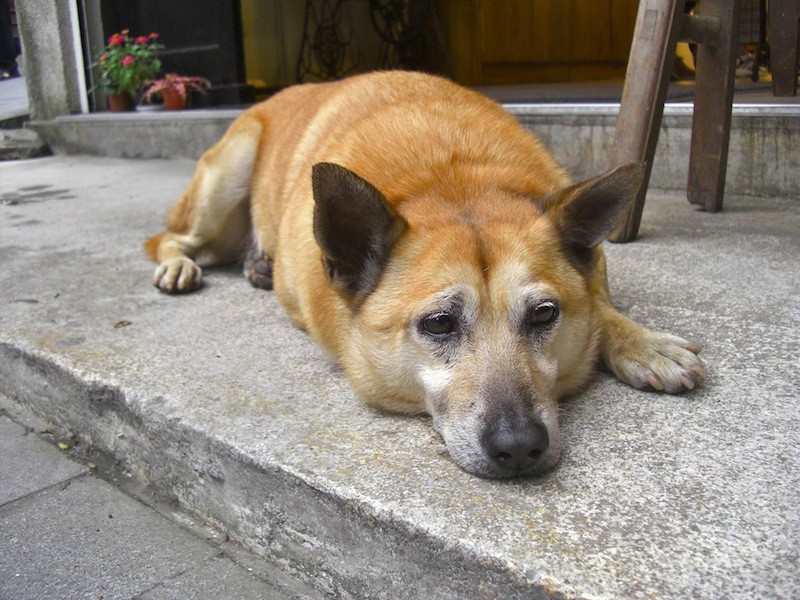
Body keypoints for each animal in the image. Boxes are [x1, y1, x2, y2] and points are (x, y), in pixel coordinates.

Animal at [145, 71, 708, 478]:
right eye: (439, 324)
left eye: (544, 315)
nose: (520, 448)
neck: (451, 177)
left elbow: (602, 304)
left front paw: (640, 341)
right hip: (225, 181)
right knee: (169, 238)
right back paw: (180, 264)